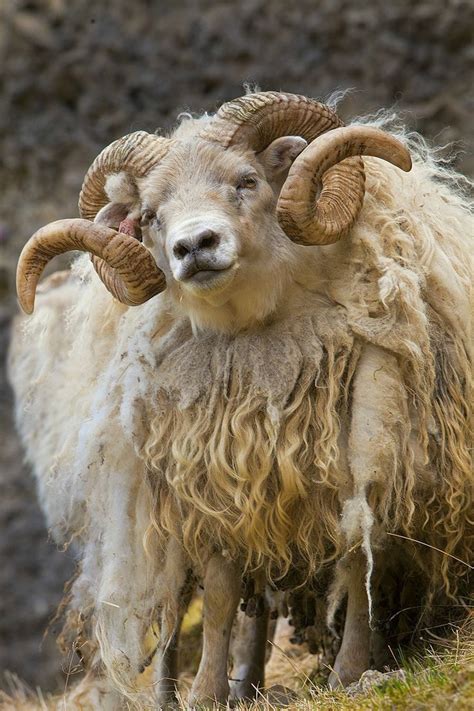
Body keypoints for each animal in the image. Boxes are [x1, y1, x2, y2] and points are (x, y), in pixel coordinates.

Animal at [9, 92, 472, 708]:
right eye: (150, 215)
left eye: (246, 180)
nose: (193, 246)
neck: (260, 332)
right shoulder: (222, 476)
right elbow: (223, 593)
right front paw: (207, 691)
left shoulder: (360, 462)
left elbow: (355, 567)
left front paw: (349, 672)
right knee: (242, 606)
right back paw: (234, 680)